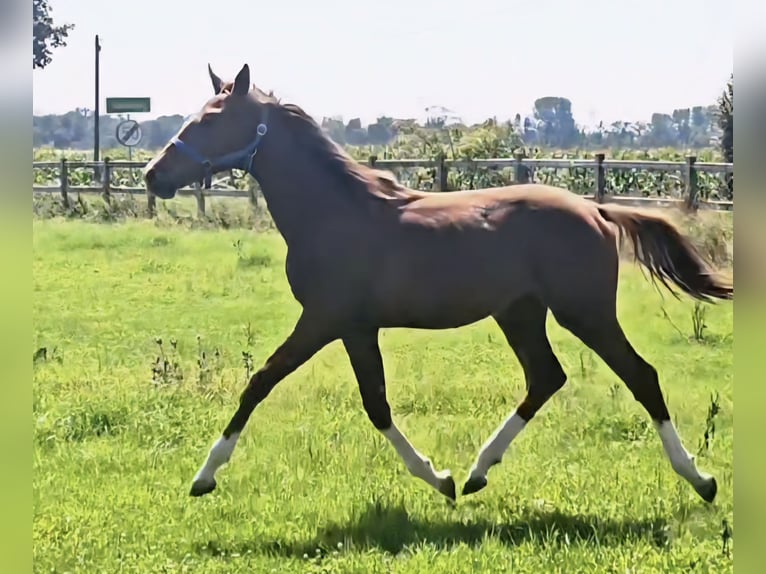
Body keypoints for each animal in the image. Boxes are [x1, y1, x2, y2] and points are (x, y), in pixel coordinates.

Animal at [143, 63, 732, 504]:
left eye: (211, 120)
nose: (153, 176)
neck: (334, 212)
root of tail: (596, 209)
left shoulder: (325, 319)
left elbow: (261, 382)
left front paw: (203, 476)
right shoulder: (356, 328)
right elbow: (376, 403)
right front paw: (442, 479)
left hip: (583, 312)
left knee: (640, 376)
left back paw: (701, 480)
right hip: (521, 312)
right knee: (546, 377)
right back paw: (476, 472)